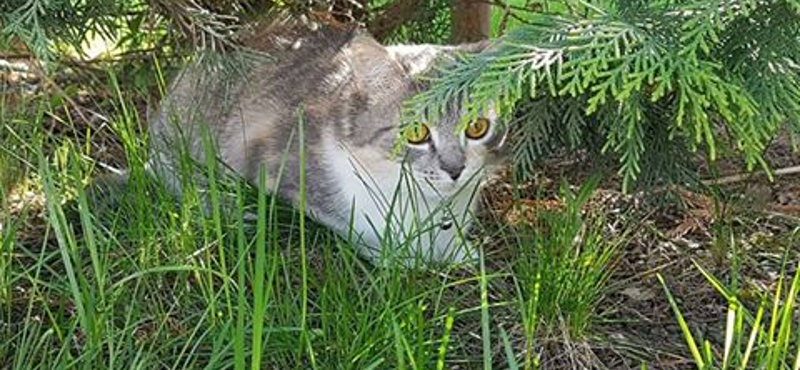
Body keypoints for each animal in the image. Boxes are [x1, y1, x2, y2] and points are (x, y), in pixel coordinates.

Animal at [148, 18, 506, 264]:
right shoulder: (276, 166)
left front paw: (459, 251)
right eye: (416, 132)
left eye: (477, 127)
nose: (456, 169)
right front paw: (400, 257)